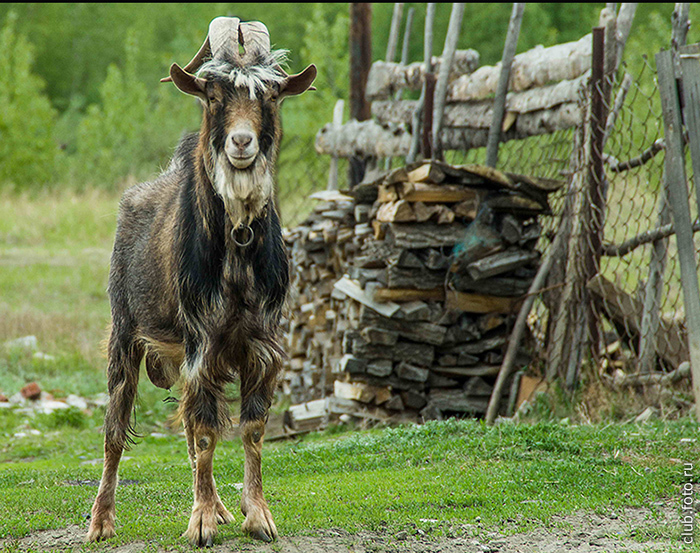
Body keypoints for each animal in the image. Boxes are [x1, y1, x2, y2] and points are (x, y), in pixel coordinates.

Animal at [86, 16, 316, 544]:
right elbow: (209, 432)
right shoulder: (201, 342)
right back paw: (102, 522)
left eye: (272, 95)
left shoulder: (261, 343)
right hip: (124, 333)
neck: (236, 241)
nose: (241, 143)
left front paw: (256, 516)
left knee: (189, 427)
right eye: (212, 93)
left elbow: (249, 429)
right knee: (115, 430)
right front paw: (202, 526)